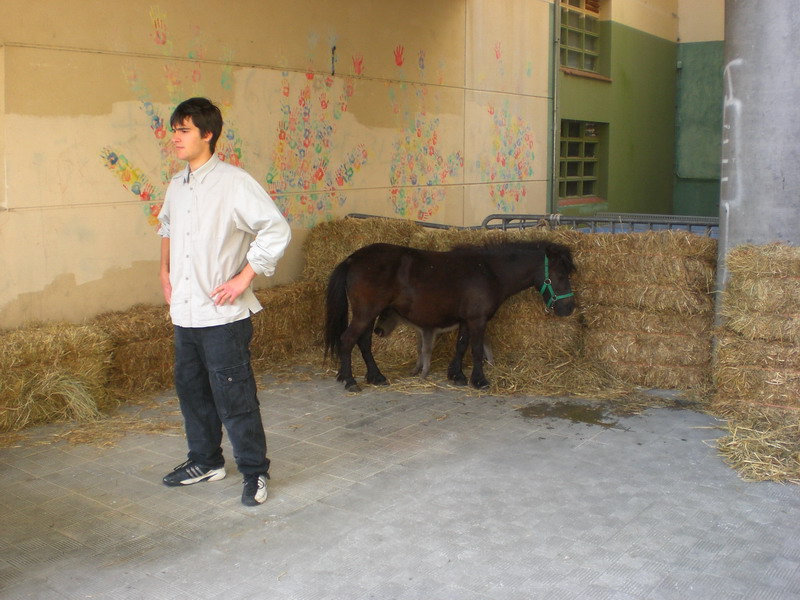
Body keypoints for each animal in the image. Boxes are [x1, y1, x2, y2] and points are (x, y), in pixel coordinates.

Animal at [324, 240, 576, 392]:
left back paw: (376, 376)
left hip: (368, 315)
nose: (569, 308)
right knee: (348, 340)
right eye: (560, 275)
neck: (489, 271)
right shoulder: (477, 320)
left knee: (364, 343)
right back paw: (350, 380)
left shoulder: (466, 320)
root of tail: (353, 259)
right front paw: (479, 380)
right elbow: (476, 350)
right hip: (365, 314)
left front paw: (456, 375)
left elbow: (461, 346)